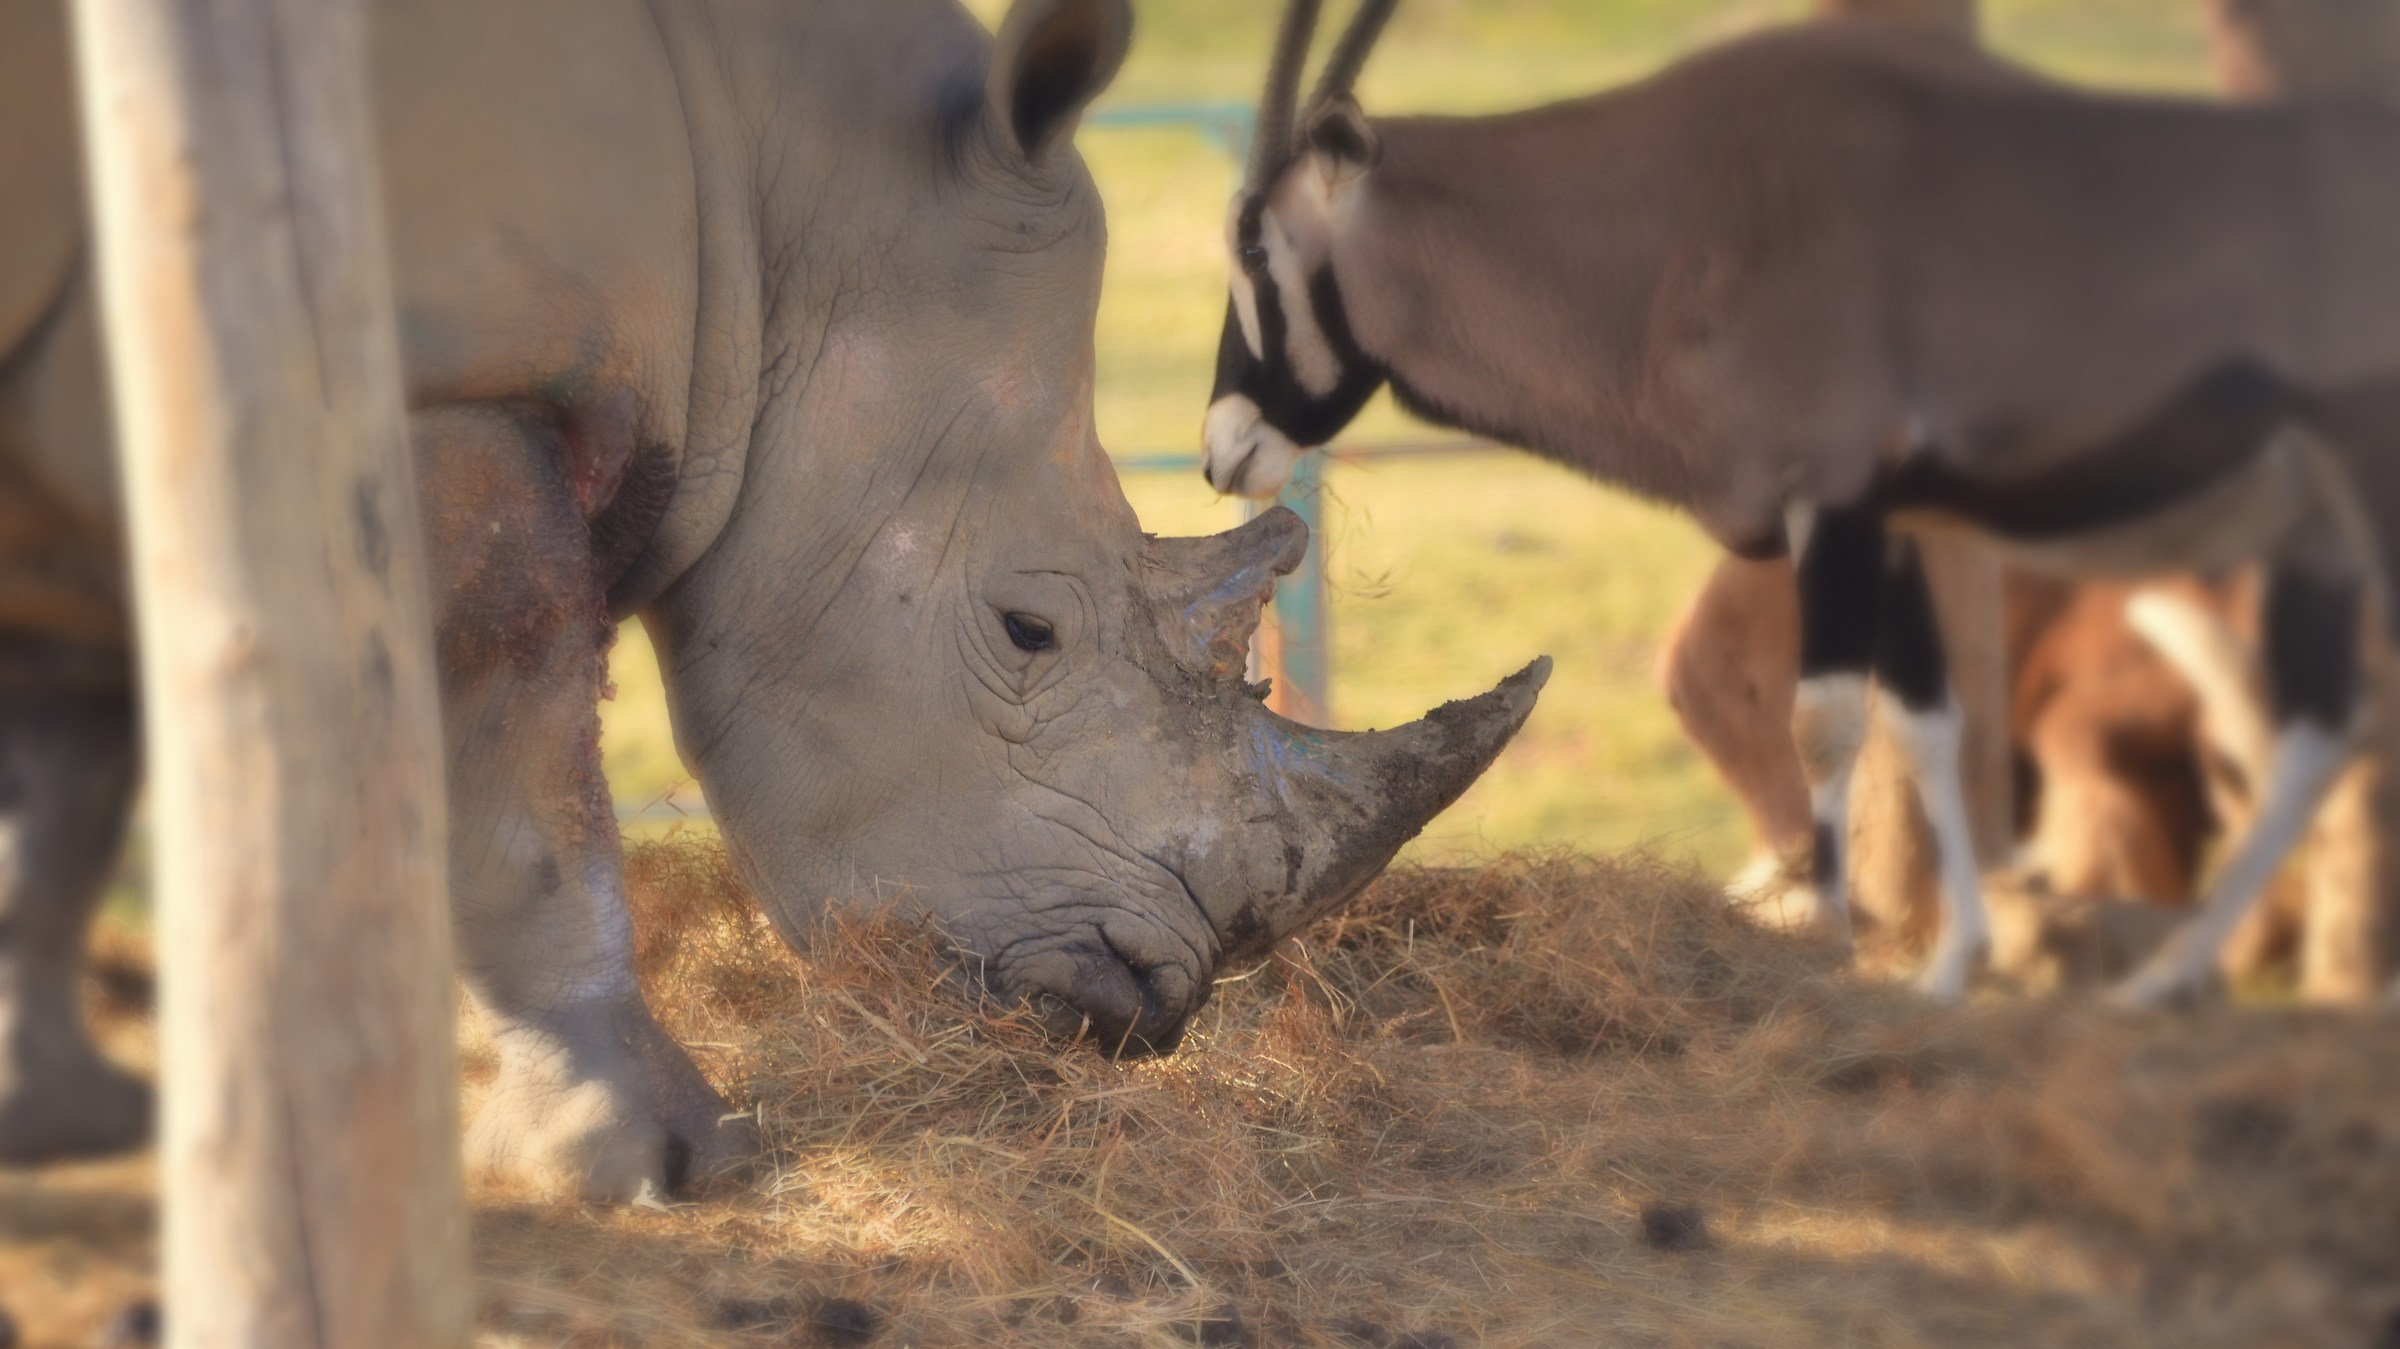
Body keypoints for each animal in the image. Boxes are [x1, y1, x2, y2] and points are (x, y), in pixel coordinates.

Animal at [0, 0, 1544, 1200]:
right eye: (1028, 630)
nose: (1149, 1005)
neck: (770, 182)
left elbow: (58, 788)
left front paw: (60, 1122)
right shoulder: (458, 378)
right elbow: (515, 782)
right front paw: (660, 1162)